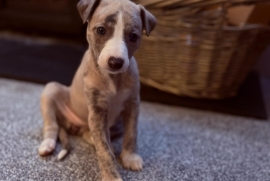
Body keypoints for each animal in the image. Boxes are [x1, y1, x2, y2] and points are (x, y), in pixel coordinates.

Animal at [38, 0, 156, 181]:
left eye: (133, 36)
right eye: (101, 30)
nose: (116, 62)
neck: (113, 78)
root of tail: (72, 126)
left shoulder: (132, 106)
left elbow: (131, 133)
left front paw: (130, 157)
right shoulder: (97, 112)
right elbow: (104, 150)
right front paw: (112, 177)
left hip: (112, 124)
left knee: (90, 133)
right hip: (52, 89)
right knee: (52, 125)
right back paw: (47, 144)